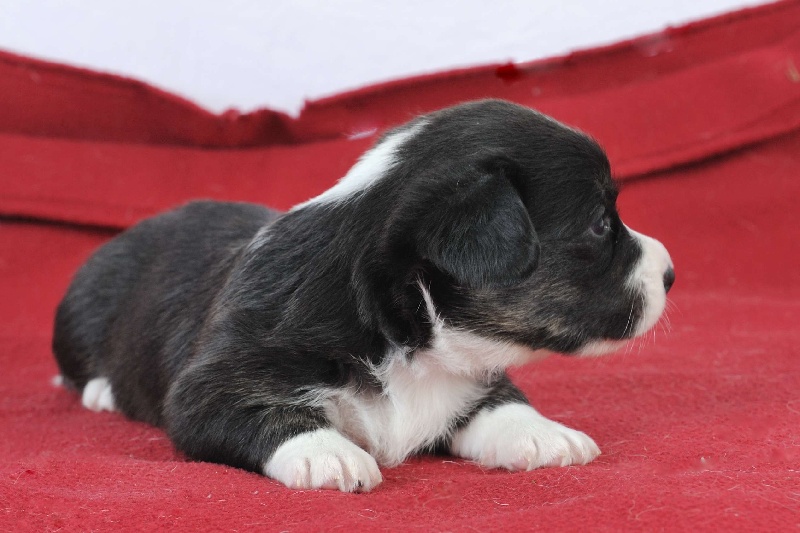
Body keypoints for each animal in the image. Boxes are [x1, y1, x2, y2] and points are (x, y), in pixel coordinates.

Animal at [53, 99, 674, 492]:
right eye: (600, 224)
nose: (670, 273)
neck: (404, 335)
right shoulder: (212, 384)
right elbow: (270, 414)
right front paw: (328, 454)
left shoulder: (472, 375)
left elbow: (501, 400)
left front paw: (545, 434)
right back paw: (102, 391)